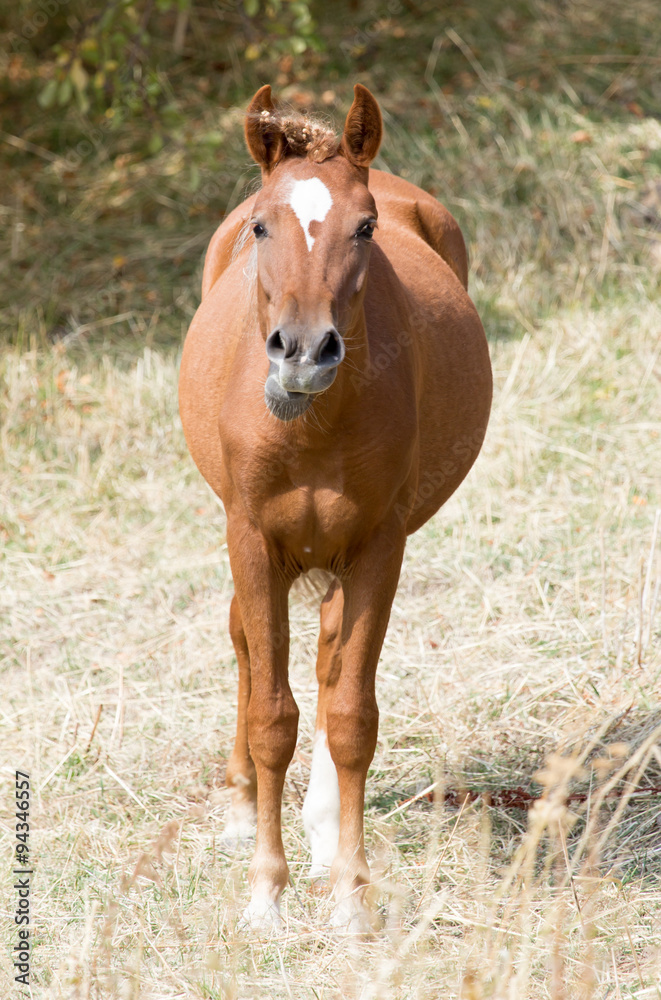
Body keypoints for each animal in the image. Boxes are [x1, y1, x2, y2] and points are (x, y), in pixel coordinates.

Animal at [179, 83, 492, 931]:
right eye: (262, 226)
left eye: (365, 228)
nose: (303, 351)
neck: (312, 425)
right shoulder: (252, 541)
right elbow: (270, 716)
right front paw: (264, 894)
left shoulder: (378, 546)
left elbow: (350, 714)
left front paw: (349, 893)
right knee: (246, 649)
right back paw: (244, 810)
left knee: (323, 660)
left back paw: (320, 831)